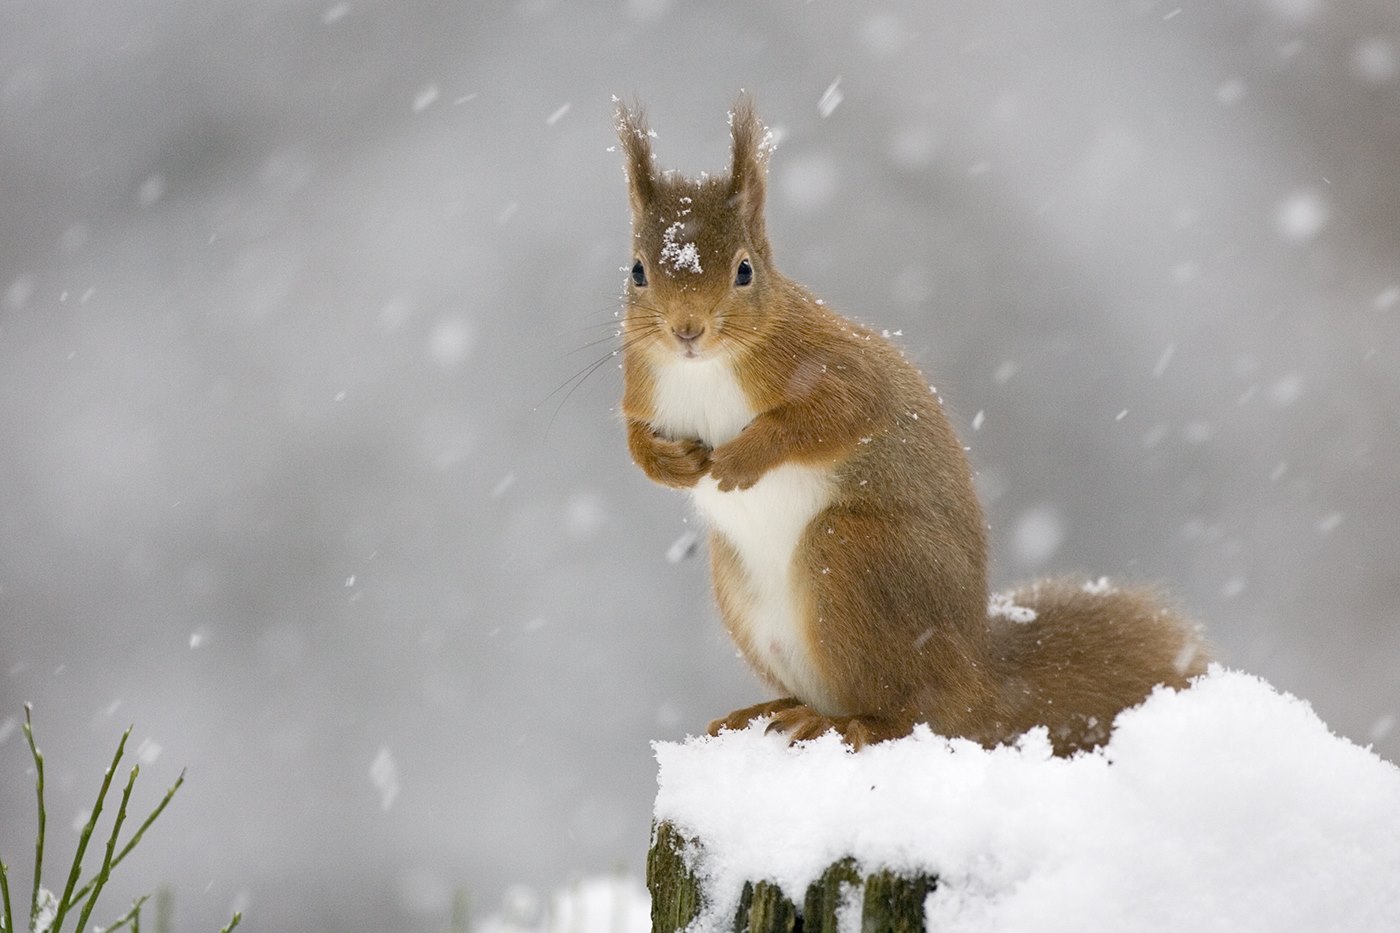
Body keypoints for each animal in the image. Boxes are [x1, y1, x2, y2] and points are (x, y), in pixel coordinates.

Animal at [615, 95, 1209, 756]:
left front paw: (742, 458)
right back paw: (769, 709)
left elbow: (832, 417)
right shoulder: (642, 388)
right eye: (637, 271)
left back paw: (840, 722)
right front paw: (671, 464)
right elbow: (634, 439)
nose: (686, 330)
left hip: (852, 556)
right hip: (740, 587)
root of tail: (980, 681)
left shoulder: (832, 369)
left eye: (745, 271)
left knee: (906, 712)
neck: (703, 370)